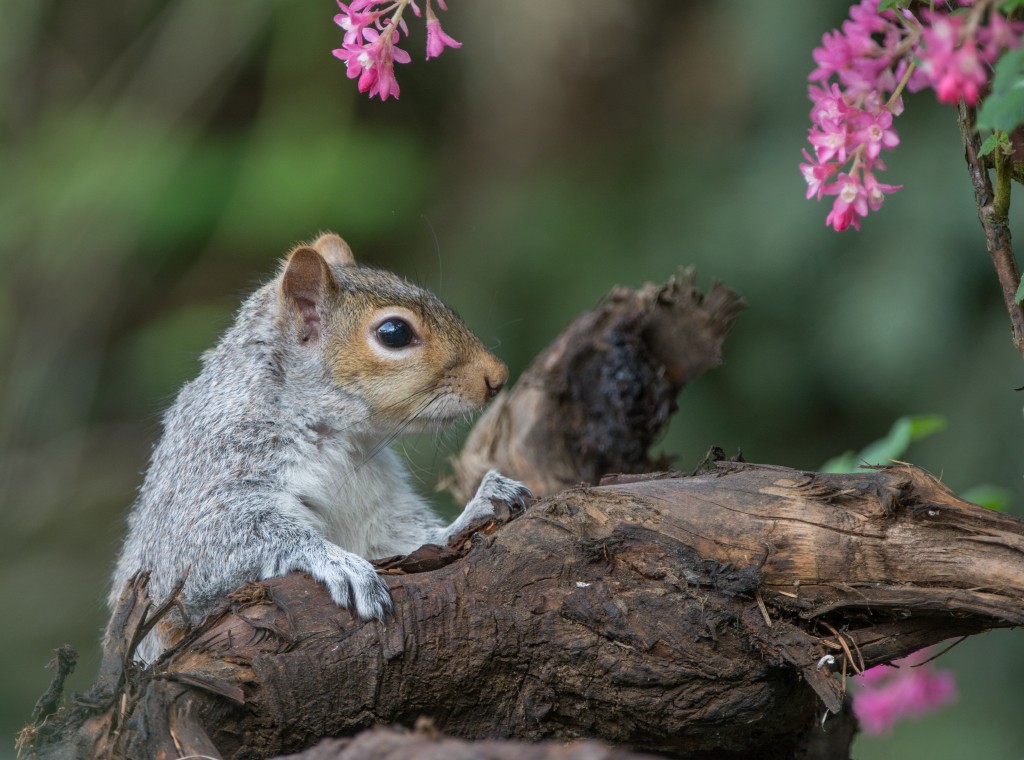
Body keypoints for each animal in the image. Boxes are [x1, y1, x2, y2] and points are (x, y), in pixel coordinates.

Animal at [109, 235, 532, 663]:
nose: (498, 376)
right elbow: (207, 547)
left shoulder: (375, 504)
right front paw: (336, 561)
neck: (339, 438)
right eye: (394, 332)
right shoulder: (215, 468)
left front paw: (480, 504)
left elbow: (406, 539)